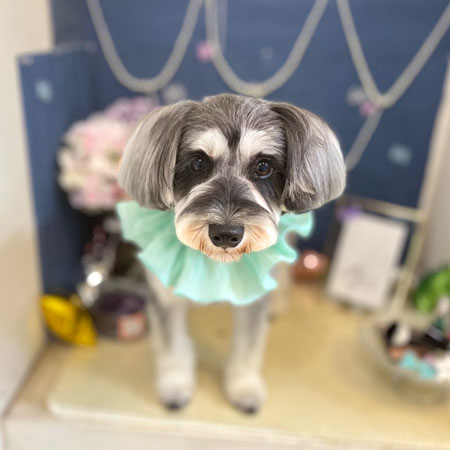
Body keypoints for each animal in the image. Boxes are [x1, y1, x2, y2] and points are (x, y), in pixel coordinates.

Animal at [118, 94, 345, 413]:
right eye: (198, 162)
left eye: (263, 166)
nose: (225, 234)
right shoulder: (164, 293)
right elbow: (172, 343)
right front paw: (175, 385)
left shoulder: (253, 299)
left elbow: (248, 346)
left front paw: (244, 387)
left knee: (283, 270)